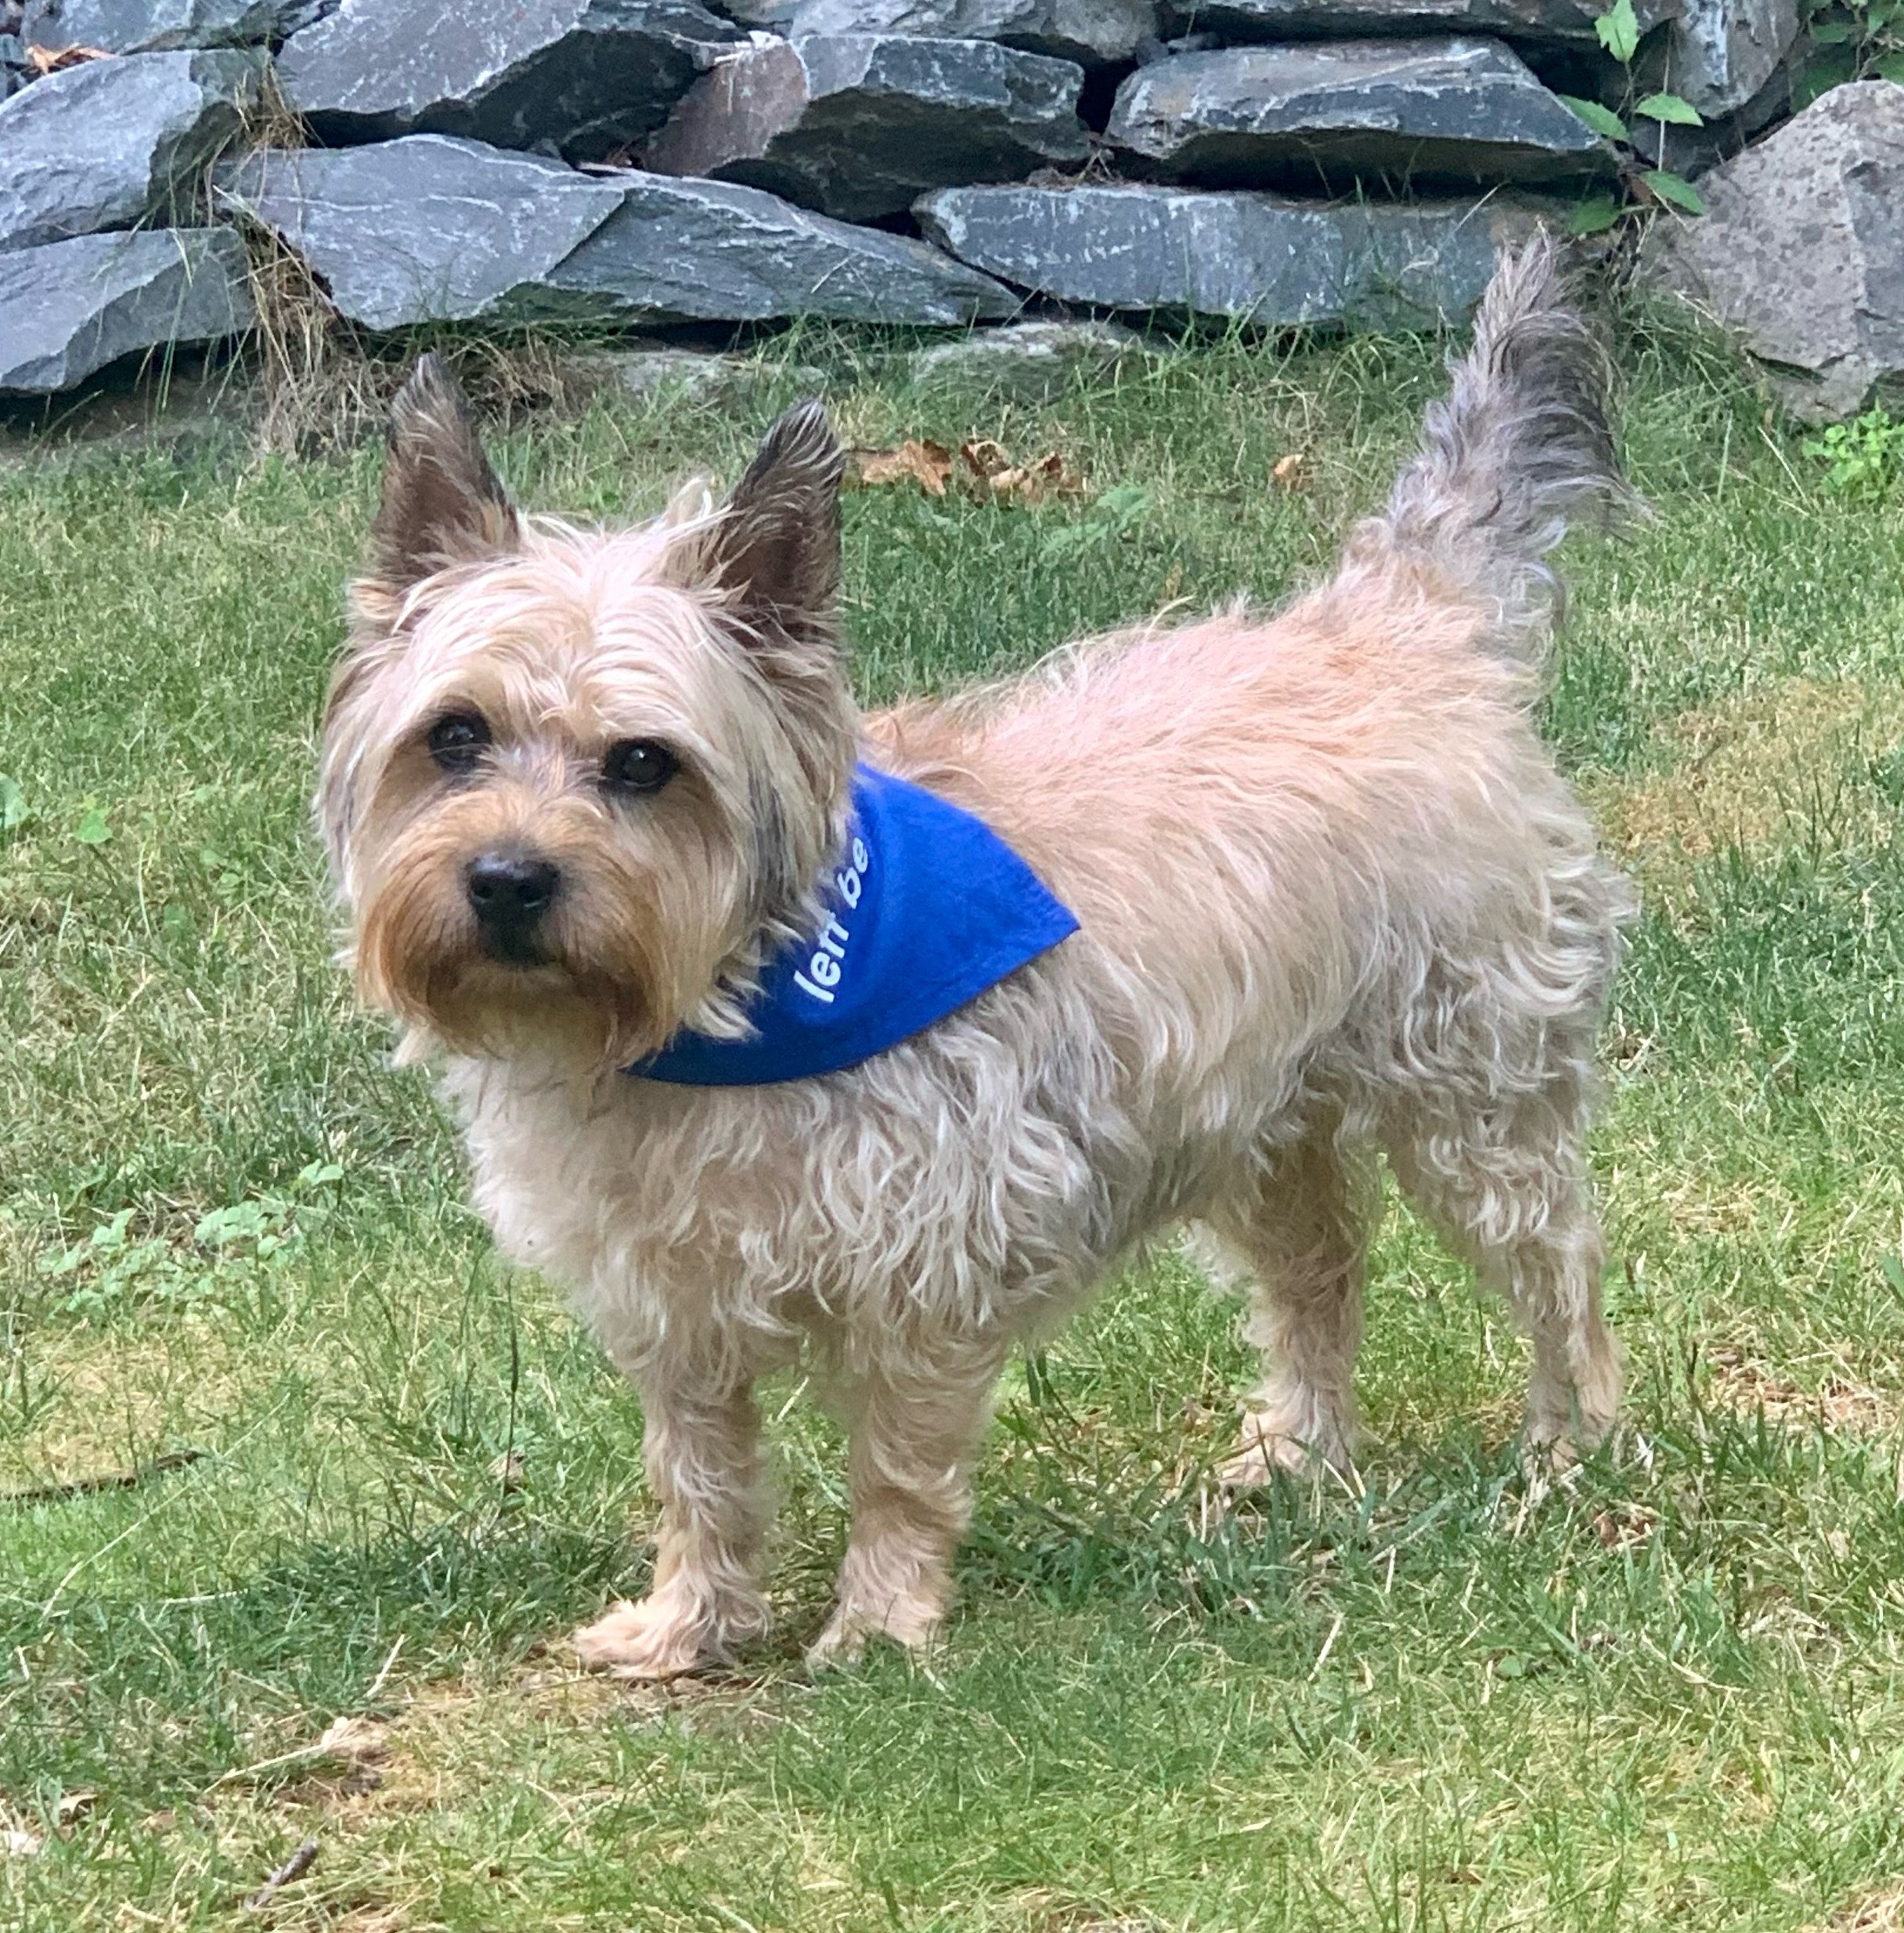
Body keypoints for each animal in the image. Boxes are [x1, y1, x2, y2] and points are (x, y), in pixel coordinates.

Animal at [319, 233, 1623, 1670]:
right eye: (454, 735)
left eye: (644, 763)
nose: (505, 881)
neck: (719, 1013)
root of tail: (1401, 615)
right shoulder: (671, 1297)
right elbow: (699, 1471)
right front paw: (688, 1621)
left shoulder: (926, 1266)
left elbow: (896, 1463)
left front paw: (880, 1625)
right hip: (1254, 1120)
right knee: (1320, 1275)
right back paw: (1300, 1455)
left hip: (1475, 1097)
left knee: (1556, 1267)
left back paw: (1569, 1453)